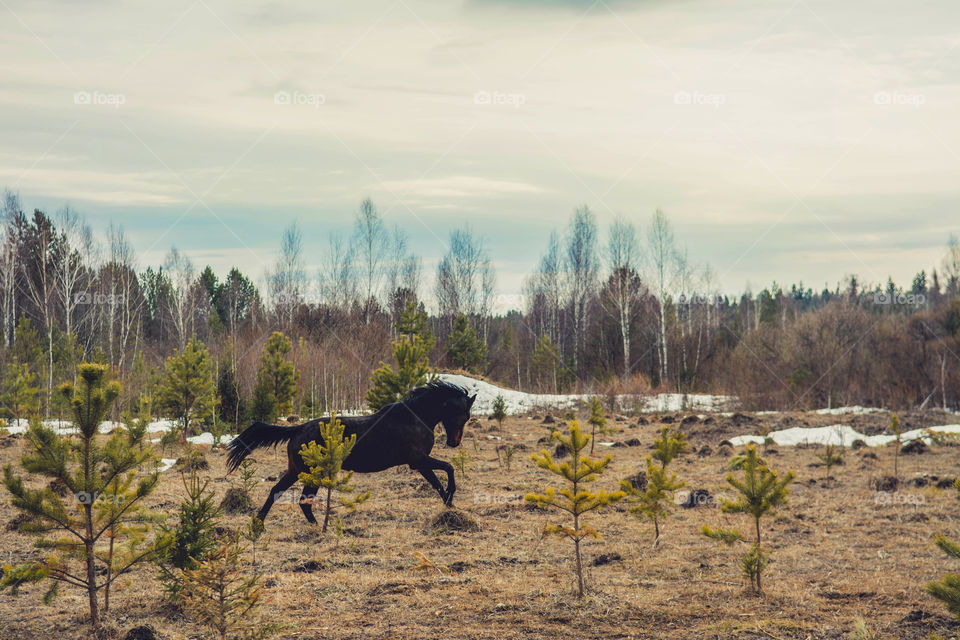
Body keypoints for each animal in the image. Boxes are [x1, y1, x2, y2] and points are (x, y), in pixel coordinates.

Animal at [229, 380, 476, 524]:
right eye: (464, 415)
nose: (454, 443)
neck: (415, 418)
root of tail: (298, 428)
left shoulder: (420, 463)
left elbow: (437, 483)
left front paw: (451, 508)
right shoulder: (418, 460)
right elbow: (448, 469)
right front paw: (452, 498)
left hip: (296, 470)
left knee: (276, 491)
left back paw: (260, 523)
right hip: (312, 472)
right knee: (302, 500)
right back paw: (319, 527)